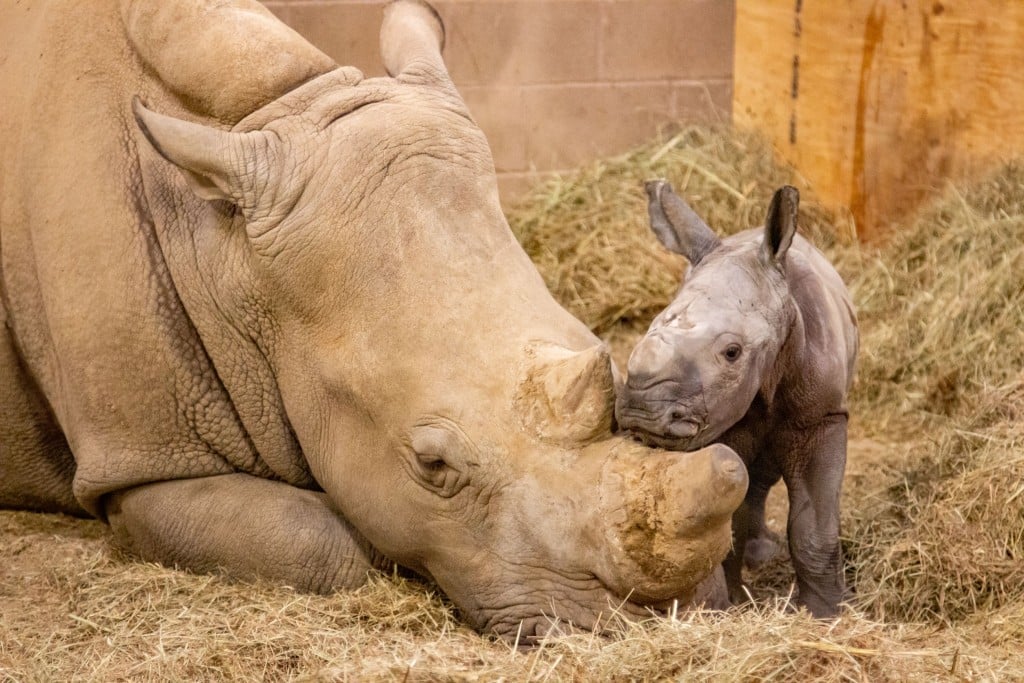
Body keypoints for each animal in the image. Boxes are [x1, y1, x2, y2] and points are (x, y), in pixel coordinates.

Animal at [614, 181, 856, 618]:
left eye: (732, 352)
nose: (642, 413)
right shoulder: (722, 419)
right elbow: (726, 516)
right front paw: (726, 606)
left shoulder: (823, 416)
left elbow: (814, 525)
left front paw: (826, 613)